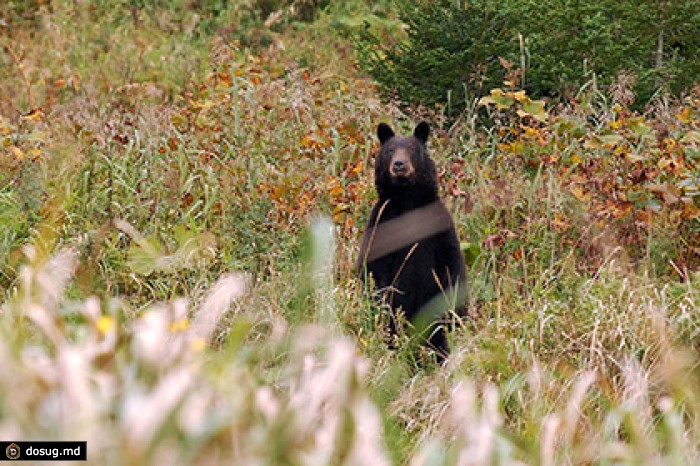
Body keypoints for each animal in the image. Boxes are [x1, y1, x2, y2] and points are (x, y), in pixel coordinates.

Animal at [360, 121, 464, 360]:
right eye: (390, 150)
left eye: (411, 148)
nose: (399, 164)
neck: (407, 199)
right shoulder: (381, 224)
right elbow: (374, 268)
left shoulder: (439, 228)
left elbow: (451, 265)